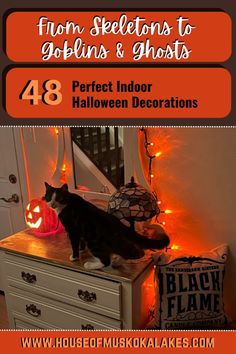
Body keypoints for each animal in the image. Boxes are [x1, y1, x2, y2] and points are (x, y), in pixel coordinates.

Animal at [42, 184, 170, 270]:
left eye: (58, 198)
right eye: (49, 197)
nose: (52, 204)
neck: (67, 202)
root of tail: (118, 224)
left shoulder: (73, 230)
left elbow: (74, 244)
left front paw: (74, 256)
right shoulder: (79, 230)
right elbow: (81, 241)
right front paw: (81, 249)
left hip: (94, 242)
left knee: (107, 260)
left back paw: (90, 265)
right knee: (132, 252)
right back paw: (118, 262)